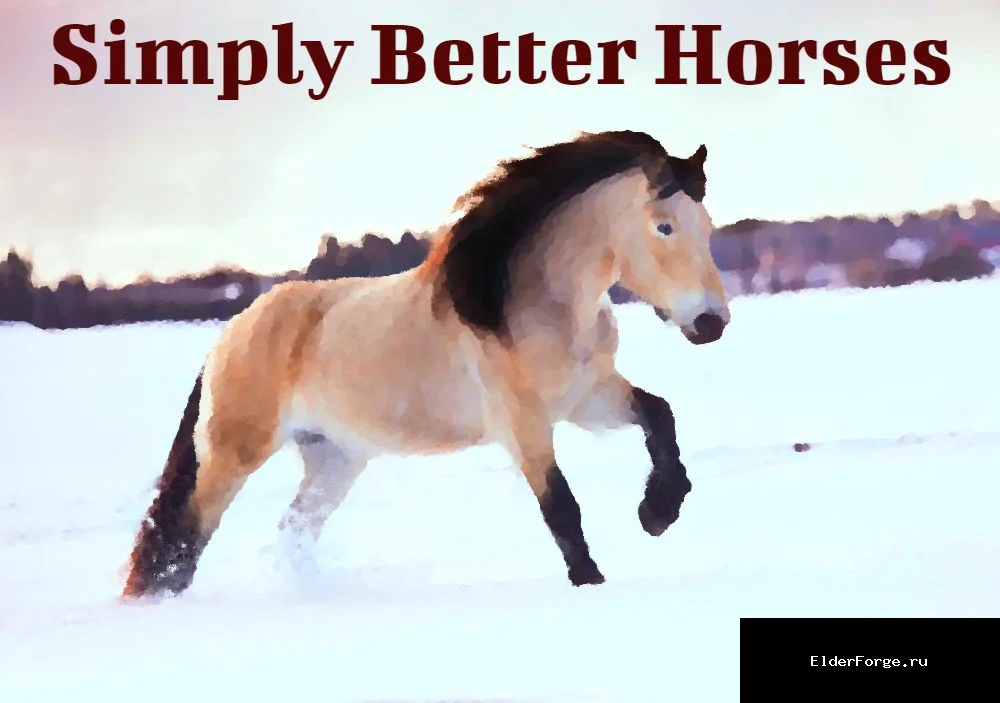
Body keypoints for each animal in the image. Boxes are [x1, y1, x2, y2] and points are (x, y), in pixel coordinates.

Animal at [121, 129, 730, 600]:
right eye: (664, 226)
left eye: (707, 227)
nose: (711, 322)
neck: (526, 306)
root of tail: (229, 333)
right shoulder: (523, 425)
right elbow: (562, 508)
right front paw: (593, 583)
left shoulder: (589, 399)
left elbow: (659, 414)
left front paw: (657, 512)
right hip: (234, 454)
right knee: (184, 539)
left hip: (334, 458)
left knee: (290, 530)